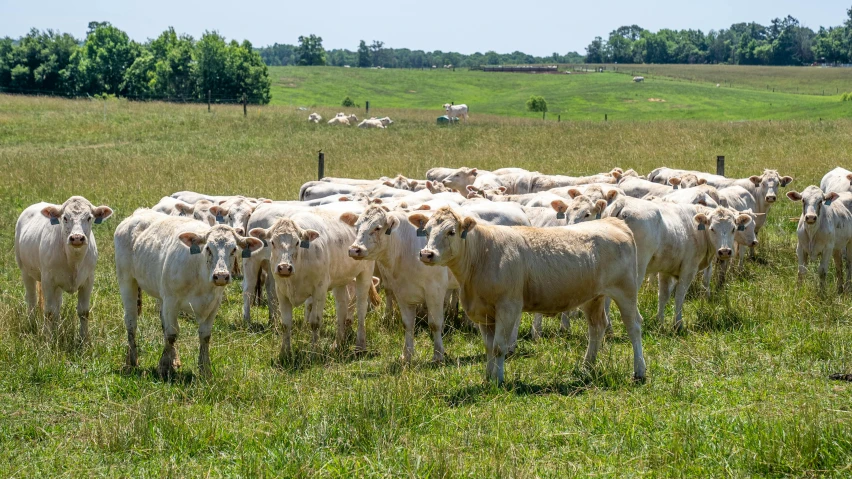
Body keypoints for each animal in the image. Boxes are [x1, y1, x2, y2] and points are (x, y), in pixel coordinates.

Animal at [14, 197, 113, 344]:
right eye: (65, 217)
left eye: (89, 217)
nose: (77, 237)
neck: (73, 261)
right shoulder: (48, 281)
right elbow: (49, 312)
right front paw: (48, 339)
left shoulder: (88, 280)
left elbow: (83, 312)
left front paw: (84, 340)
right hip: (25, 271)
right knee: (32, 300)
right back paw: (32, 325)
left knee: (57, 304)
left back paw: (57, 327)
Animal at [115, 210, 262, 378]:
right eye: (208, 248)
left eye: (234, 250)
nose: (221, 276)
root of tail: (138, 212)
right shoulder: (172, 301)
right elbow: (172, 333)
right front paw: (164, 367)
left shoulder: (214, 304)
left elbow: (204, 335)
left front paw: (204, 369)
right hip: (127, 281)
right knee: (131, 321)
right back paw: (132, 360)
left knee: (162, 322)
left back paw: (173, 359)